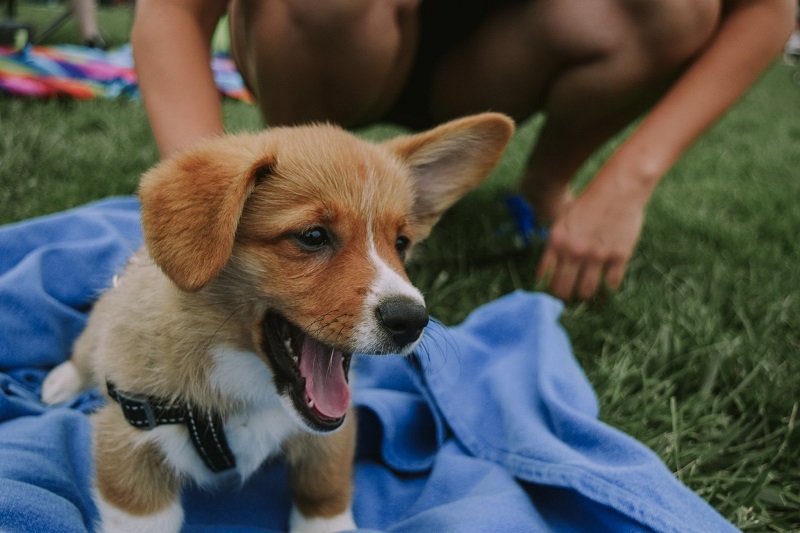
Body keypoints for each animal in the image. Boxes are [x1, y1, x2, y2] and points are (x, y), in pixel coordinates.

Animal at [43, 112, 516, 532]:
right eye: (313, 237)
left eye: (401, 243)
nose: (412, 320)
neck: (250, 387)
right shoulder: (131, 449)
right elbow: (142, 517)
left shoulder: (330, 441)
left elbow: (324, 494)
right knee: (82, 352)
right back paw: (60, 383)